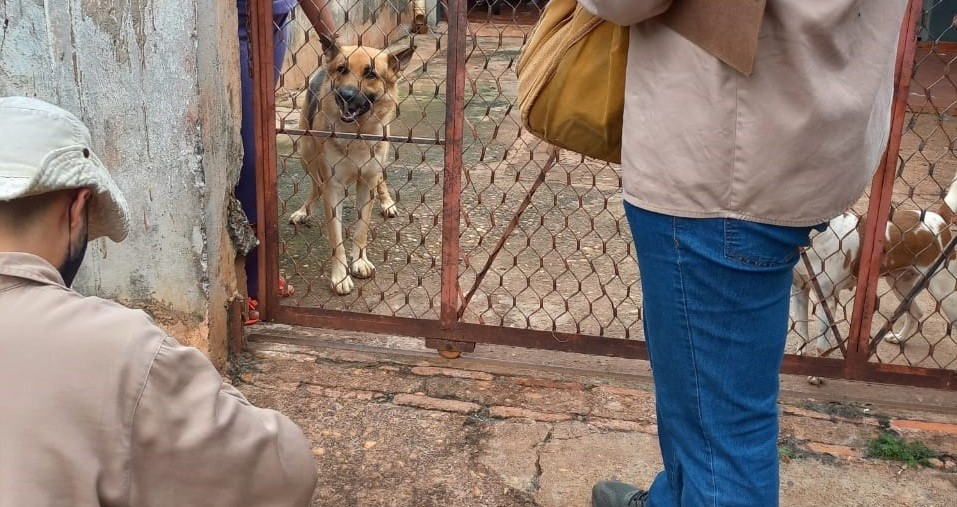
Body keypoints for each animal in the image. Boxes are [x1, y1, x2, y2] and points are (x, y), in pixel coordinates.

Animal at [288, 33, 414, 296]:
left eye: (371, 74)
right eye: (342, 69)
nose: (345, 94)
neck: (356, 134)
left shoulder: (367, 181)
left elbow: (361, 228)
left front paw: (360, 261)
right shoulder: (332, 187)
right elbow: (336, 238)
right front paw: (340, 276)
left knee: (381, 179)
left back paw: (387, 202)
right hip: (307, 155)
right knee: (314, 186)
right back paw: (303, 210)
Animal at [788, 179, 956, 366]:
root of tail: (939, 217)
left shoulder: (828, 300)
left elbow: (820, 346)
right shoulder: (799, 291)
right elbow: (801, 332)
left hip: (945, 293)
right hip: (901, 285)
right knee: (916, 313)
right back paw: (899, 338)